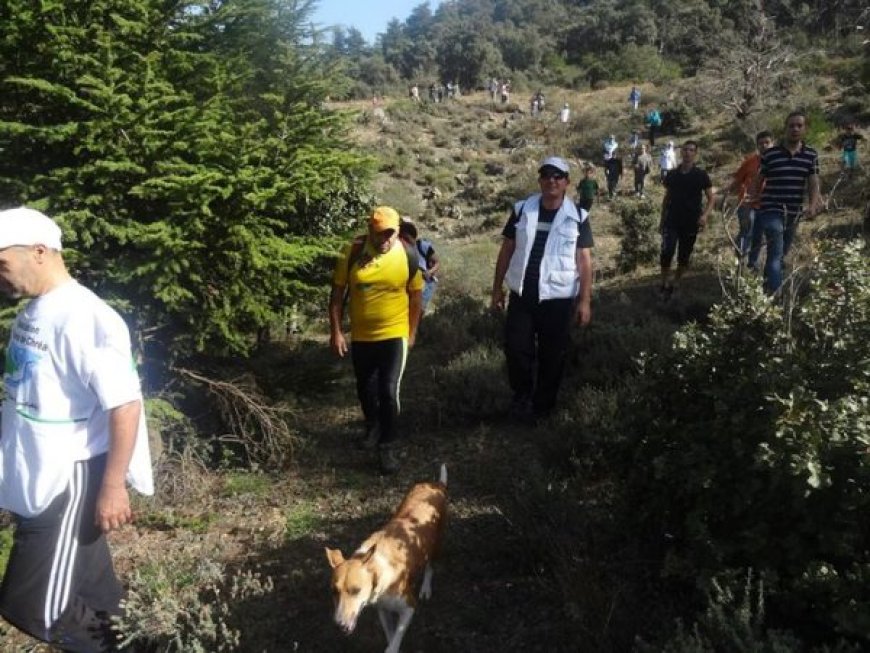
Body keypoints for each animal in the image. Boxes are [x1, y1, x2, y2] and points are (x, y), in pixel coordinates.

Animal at [328, 464, 450, 652]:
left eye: (356, 590)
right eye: (334, 591)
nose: (339, 625)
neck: (377, 571)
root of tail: (436, 485)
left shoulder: (409, 608)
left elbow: (395, 641)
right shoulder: (383, 611)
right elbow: (390, 634)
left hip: (436, 544)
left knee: (430, 567)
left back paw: (425, 588)